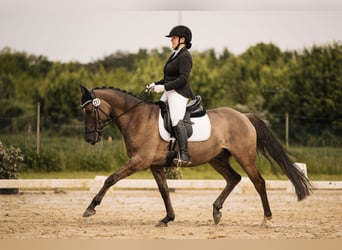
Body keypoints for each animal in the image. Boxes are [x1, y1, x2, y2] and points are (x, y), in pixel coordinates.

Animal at [79, 85, 312, 227]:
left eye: (89, 111)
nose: (90, 139)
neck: (137, 117)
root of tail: (244, 116)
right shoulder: (155, 165)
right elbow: (164, 191)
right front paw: (167, 218)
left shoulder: (139, 162)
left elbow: (111, 179)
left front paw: (90, 208)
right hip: (217, 159)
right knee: (234, 179)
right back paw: (216, 211)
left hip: (244, 157)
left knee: (258, 182)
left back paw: (267, 219)